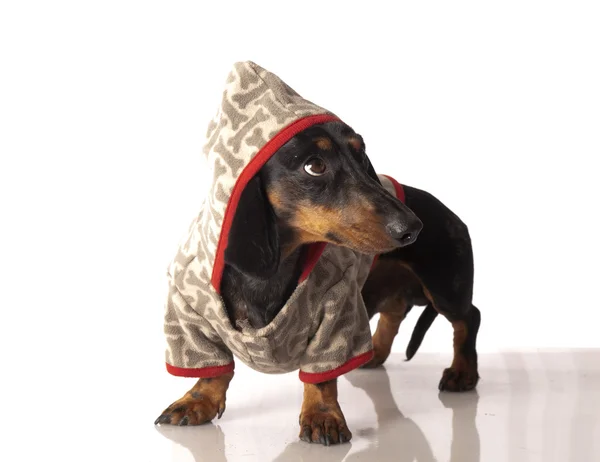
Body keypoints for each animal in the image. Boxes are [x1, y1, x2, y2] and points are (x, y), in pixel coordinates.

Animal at [156, 121, 482, 446]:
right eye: (314, 166)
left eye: (361, 154)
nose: (413, 229)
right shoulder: (189, 314)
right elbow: (212, 368)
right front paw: (197, 401)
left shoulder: (337, 312)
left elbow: (321, 377)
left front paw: (322, 416)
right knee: (395, 312)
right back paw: (375, 351)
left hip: (445, 288)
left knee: (469, 317)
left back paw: (462, 372)